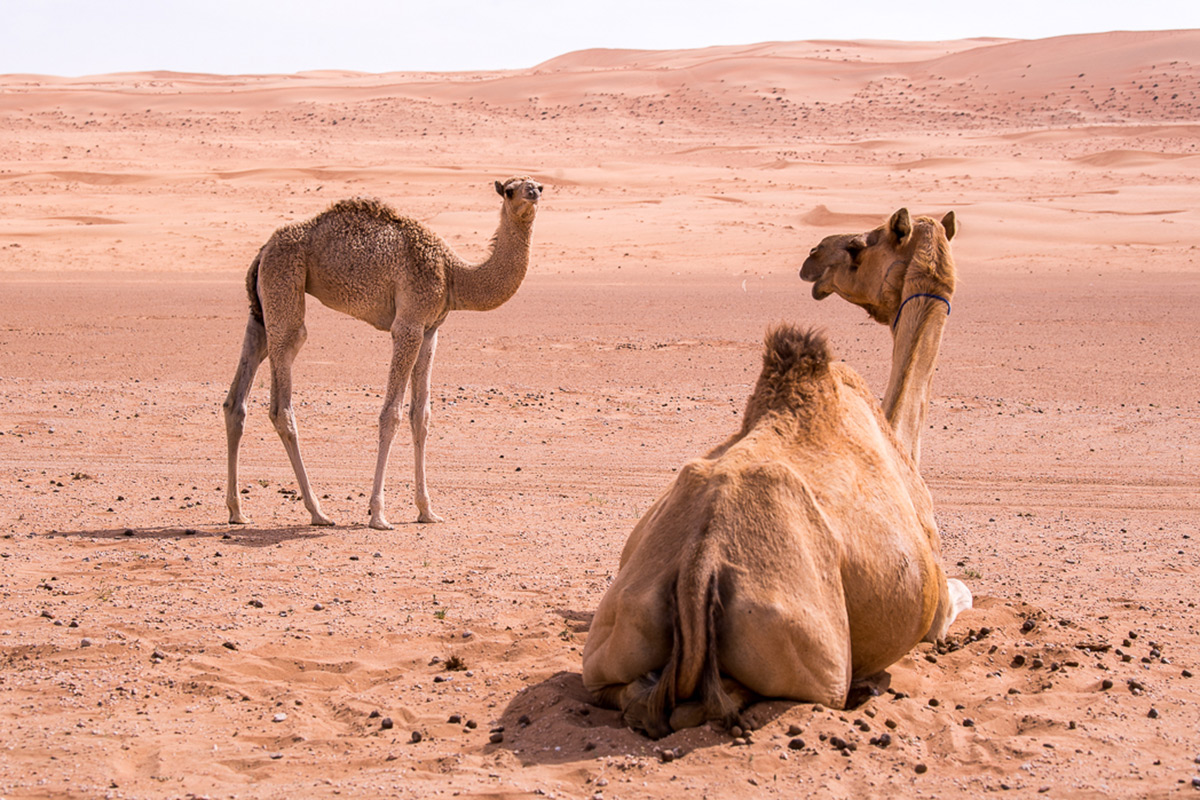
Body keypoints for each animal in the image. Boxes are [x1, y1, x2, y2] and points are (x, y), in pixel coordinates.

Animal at [222, 177, 544, 527]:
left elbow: (421, 416)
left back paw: (237, 511)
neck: (453, 275)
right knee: (283, 395)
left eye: (537, 185)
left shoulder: (430, 330)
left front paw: (427, 511)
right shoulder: (408, 325)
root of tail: (263, 249)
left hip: (261, 305)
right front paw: (378, 513)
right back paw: (317, 511)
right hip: (284, 280)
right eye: (510, 190)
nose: (533, 192)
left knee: (238, 396)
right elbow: (391, 414)